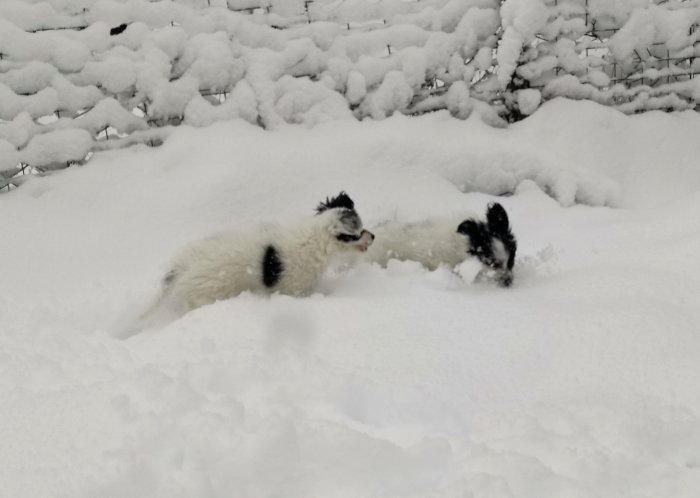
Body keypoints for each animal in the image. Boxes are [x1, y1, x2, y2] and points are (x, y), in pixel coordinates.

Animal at [141, 192, 372, 316]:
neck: (315, 237)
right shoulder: (295, 289)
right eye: (358, 233)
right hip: (207, 295)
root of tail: (178, 268)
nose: (373, 236)